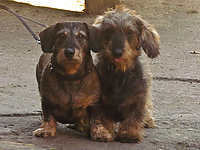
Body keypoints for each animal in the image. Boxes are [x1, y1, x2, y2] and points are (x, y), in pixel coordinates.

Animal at [90, 5, 160, 142]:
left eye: (130, 32)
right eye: (109, 30)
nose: (117, 52)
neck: (120, 73)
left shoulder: (139, 100)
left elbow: (133, 118)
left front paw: (129, 133)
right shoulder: (100, 103)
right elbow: (100, 118)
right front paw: (102, 132)